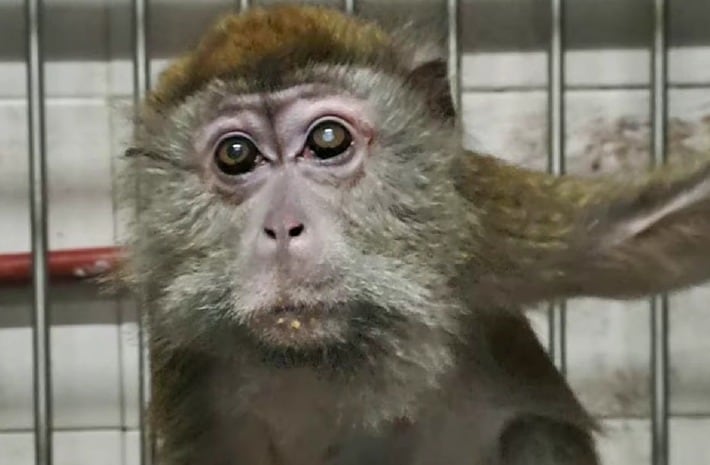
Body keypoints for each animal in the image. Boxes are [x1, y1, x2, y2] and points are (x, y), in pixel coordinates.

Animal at [118, 4, 710, 465]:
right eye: (236, 155)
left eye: (327, 140)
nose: (283, 227)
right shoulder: (186, 356)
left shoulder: (483, 225)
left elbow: (647, 232)